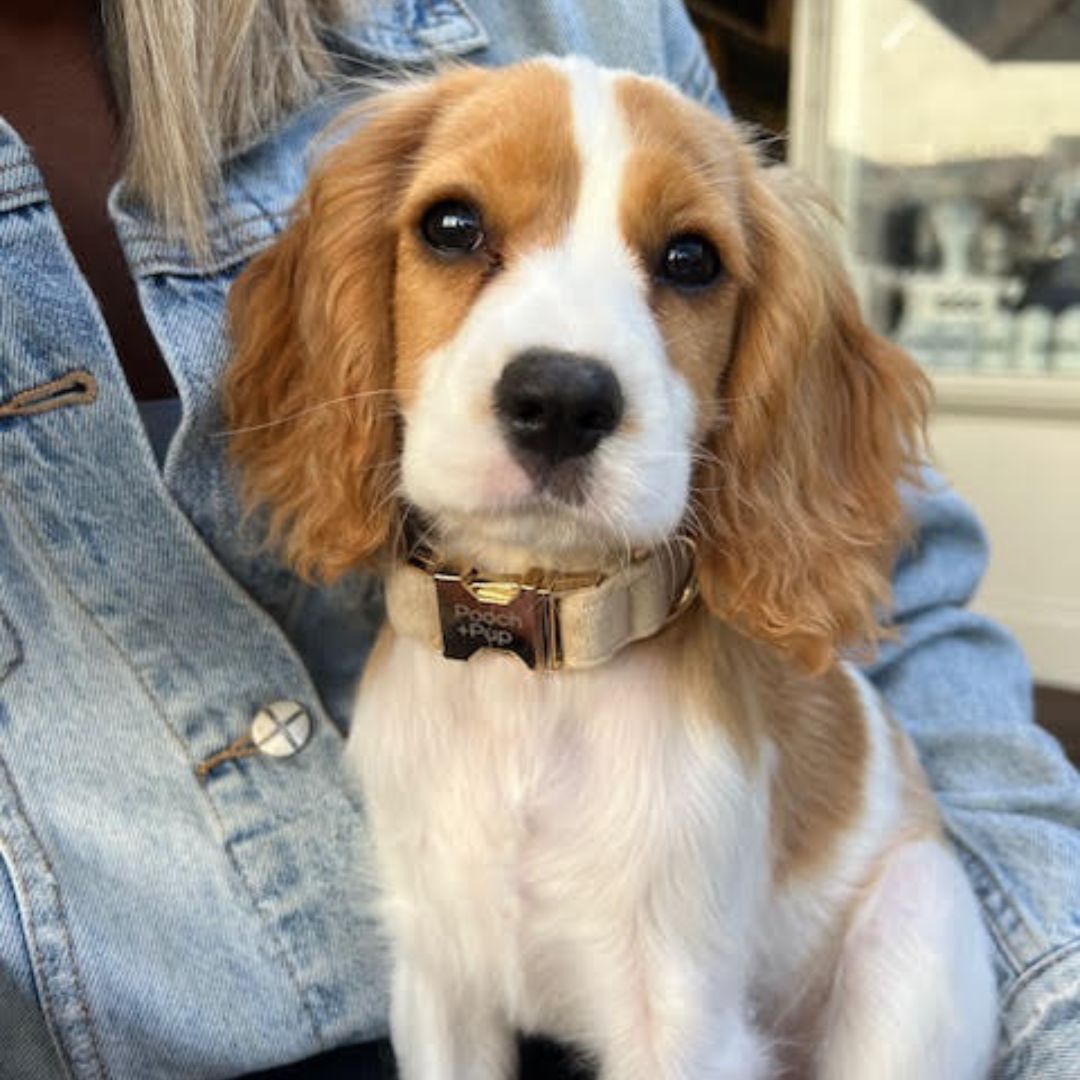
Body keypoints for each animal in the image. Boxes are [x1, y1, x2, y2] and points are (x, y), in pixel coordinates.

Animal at [223, 56, 997, 1080]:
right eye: (451, 226)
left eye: (691, 260)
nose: (560, 399)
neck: (533, 677)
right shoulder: (438, 980)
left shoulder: (681, 1020)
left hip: (913, 932)